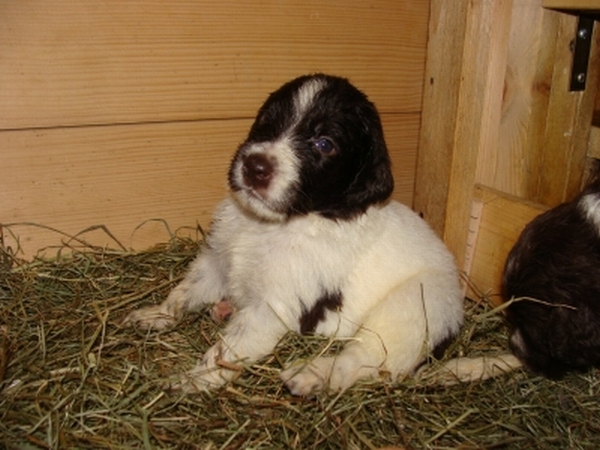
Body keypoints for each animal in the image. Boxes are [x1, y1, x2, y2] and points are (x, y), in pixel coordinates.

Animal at [124, 74, 464, 394]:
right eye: (267, 120)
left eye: (324, 144)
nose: (255, 166)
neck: (271, 224)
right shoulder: (215, 263)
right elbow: (183, 293)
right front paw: (155, 315)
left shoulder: (272, 308)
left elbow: (226, 351)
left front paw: (191, 381)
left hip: (413, 309)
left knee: (363, 359)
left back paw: (311, 375)